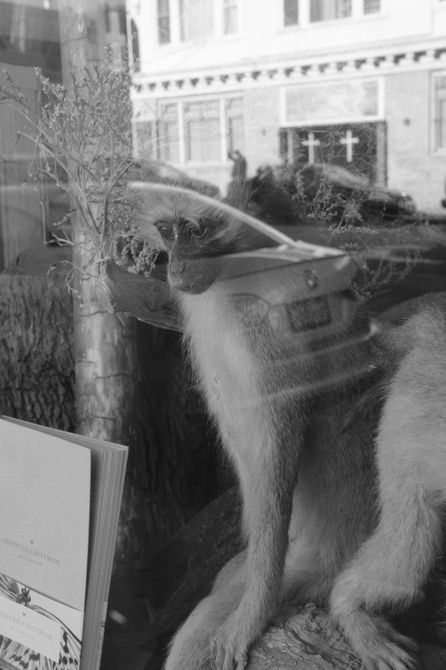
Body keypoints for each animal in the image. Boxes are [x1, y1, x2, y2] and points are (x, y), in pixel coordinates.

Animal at [130, 182, 446, 670]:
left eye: (196, 230)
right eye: (167, 230)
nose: (177, 266)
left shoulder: (266, 327)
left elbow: (275, 459)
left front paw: (252, 613)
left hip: (317, 569)